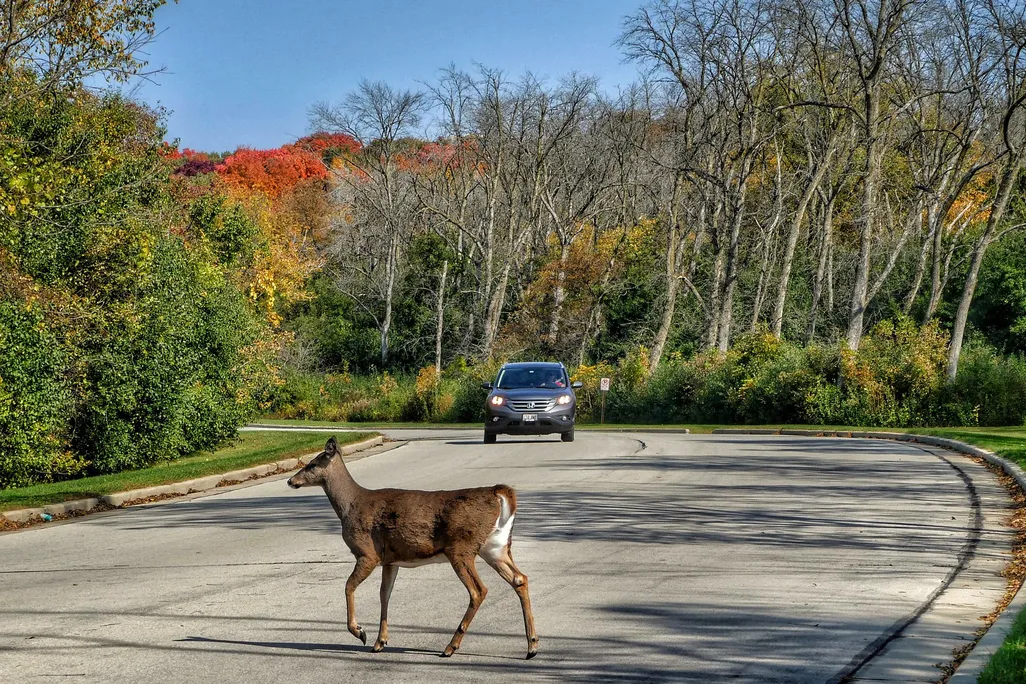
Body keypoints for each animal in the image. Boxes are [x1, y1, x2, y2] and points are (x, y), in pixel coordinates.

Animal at [286, 437, 539, 659]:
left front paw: (360, 632)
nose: (290, 481)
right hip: (495, 546)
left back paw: (450, 647)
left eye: (312, 464)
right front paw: (380, 641)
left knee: (479, 590)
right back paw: (532, 647)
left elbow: (348, 586)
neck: (350, 506)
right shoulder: (390, 560)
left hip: (461, 547)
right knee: (520, 578)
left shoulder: (368, 553)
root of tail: (499, 493)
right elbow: (384, 594)